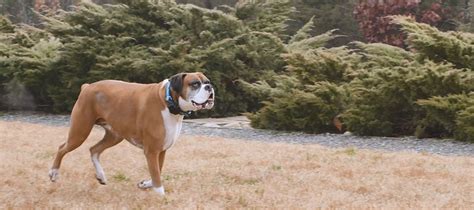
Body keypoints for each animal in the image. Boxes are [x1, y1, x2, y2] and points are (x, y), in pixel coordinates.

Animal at [48, 72, 215, 195]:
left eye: (207, 81)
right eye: (195, 84)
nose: (210, 87)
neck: (168, 102)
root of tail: (87, 87)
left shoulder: (160, 151)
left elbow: (157, 172)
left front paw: (145, 184)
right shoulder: (151, 151)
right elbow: (157, 177)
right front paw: (161, 196)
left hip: (114, 136)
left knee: (93, 149)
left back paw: (101, 175)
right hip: (80, 132)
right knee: (62, 148)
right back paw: (54, 173)